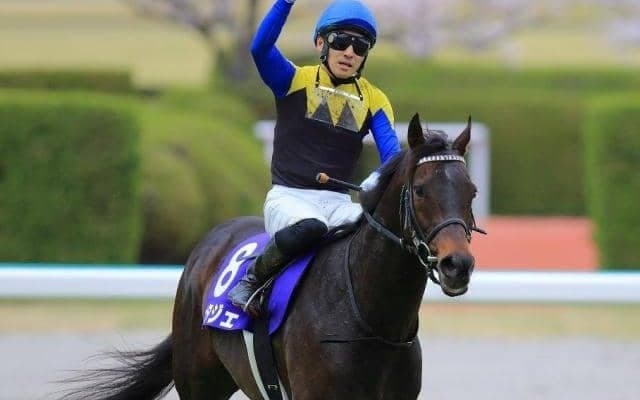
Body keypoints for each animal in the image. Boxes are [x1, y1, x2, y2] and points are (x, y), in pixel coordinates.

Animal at [58, 113, 483, 400]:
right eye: (422, 190)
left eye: (472, 191)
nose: (457, 265)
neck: (371, 316)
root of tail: (212, 238)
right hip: (198, 381)